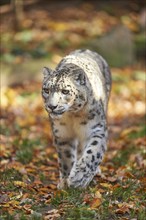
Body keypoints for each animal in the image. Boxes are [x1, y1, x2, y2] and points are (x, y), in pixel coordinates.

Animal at [41, 49, 111, 188]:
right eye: (46, 90)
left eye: (65, 91)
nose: (52, 106)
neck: (72, 116)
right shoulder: (62, 134)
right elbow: (66, 158)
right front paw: (65, 181)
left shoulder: (97, 129)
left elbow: (93, 152)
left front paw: (79, 177)